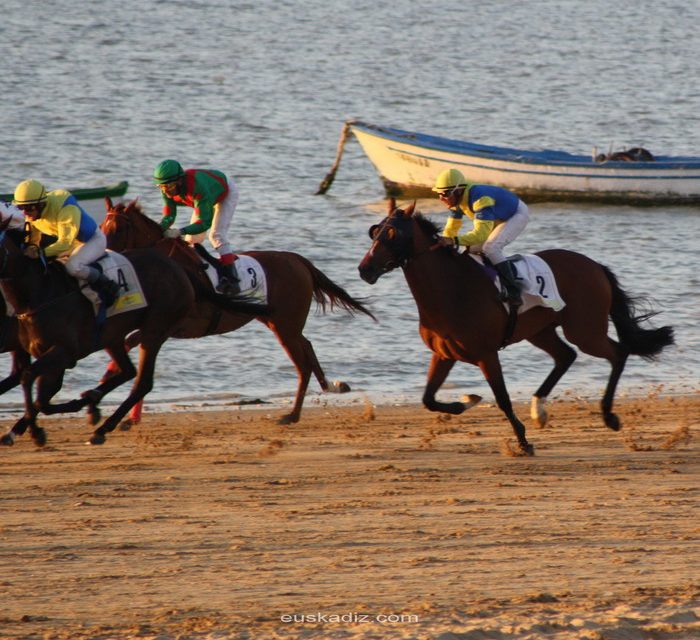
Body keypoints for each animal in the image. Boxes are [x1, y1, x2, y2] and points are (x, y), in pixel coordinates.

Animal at [0, 220, 200, 444]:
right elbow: (41, 396)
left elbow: (30, 380)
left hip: (155, 330)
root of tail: (178, 268)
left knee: (143, 382)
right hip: (112, 337)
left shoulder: (64, 352)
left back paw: (102, 428)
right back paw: (94, 403)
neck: (40, 294)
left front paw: (36, 431)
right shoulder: (50, 354)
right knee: (128, 371)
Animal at [100, 198, 374, 422]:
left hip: (285, 327)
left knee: (302, 365)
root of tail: (297, 259)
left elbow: (131, 344)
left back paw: (293, 415)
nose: (103, 256)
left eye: (118, 229)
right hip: (279, 323)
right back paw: (328, 386)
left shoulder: (174, 326)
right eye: (102, 226)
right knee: (307, 348)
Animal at [358, 200, 676, 456]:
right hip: (541, 331)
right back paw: (539, 410)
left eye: (392, 234)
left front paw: (523, 442)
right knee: (566, 356)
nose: (364, 269)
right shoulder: (444, 354)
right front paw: (468, 401)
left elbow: (503, 399)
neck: (452, 289)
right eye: (374, 231)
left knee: (617, 353)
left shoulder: (487, 354)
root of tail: (596, 266)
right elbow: (428, 399)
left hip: (585, 330)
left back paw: (608, 416)